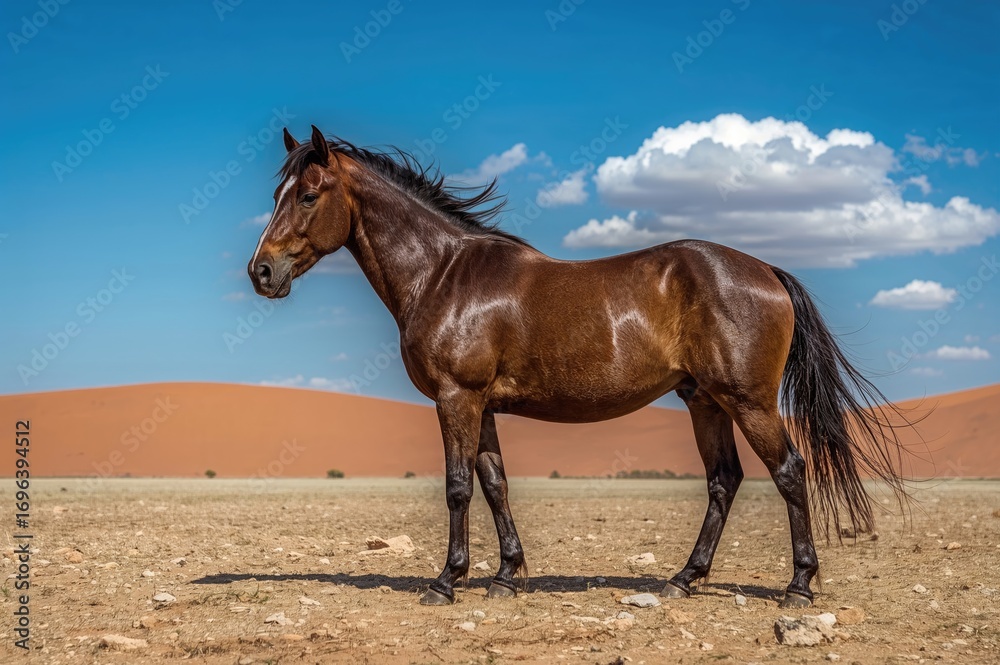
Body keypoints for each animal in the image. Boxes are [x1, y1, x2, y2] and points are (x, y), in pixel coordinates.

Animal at [248, 125, 912, 609]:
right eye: (276, 196)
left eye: (308, 195)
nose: (261, 272)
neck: (441, 274)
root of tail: (765, 269)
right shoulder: (481, 405)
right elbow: (495, 484)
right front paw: (506, 575)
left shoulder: (456, 398)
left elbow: (459, 488)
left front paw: (446, 581)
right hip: (705, 402)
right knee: (724, 481)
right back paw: (683, 579)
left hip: (747, 402)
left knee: (789, 473)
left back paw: (798, 587)